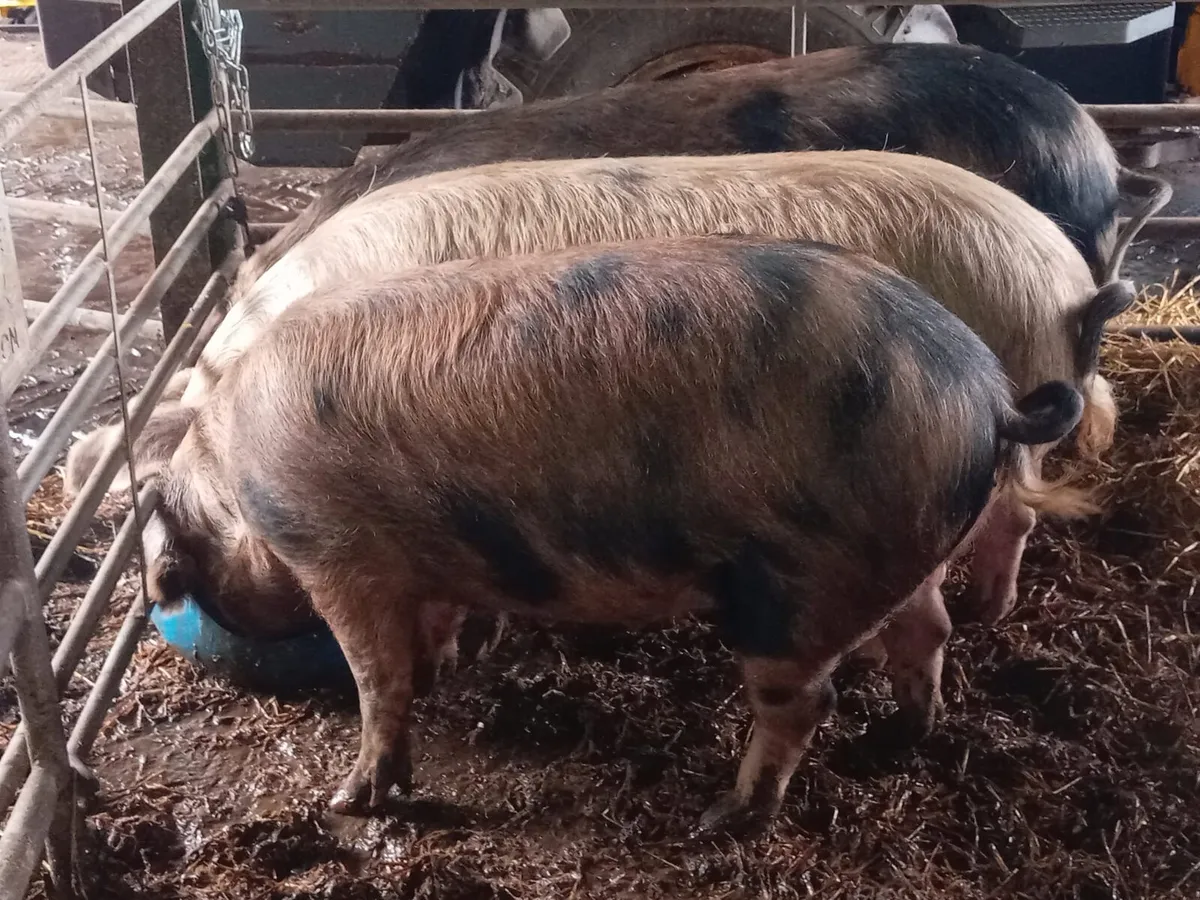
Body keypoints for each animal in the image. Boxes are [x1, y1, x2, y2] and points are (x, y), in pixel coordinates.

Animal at [147, 236, 1090, 828]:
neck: (232, 477)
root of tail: (988, 395)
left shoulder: (339, 553)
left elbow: (379, 679)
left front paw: (352, 801)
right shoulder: (426, 561)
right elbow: (436, 631)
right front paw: (447, 667)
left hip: (803, 582)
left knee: (803, 700)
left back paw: (723, 819)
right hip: (908, 547)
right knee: (927, 630)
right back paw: (898, 737)